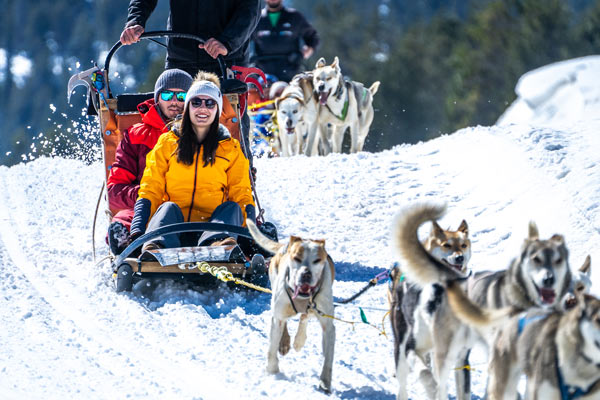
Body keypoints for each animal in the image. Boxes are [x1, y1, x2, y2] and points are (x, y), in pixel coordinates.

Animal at [246, 220, 336, 392]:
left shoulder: (328, 325)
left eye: (317, 260)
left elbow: (328, 358)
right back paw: (284, 343)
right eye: (296, 258)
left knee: (305, 316)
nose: (306, 274)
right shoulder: (278, 316)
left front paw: (325, 382)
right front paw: (272, 371)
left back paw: (298, 340)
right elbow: (271, 348)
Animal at [392, 208, 476, 398]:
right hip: (402, 347)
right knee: (404, 383)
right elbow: (427, 375)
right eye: (446, 245)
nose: (459, 258)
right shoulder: (411, 348)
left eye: (463, 245)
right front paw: (432, 387)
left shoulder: (461, 360)